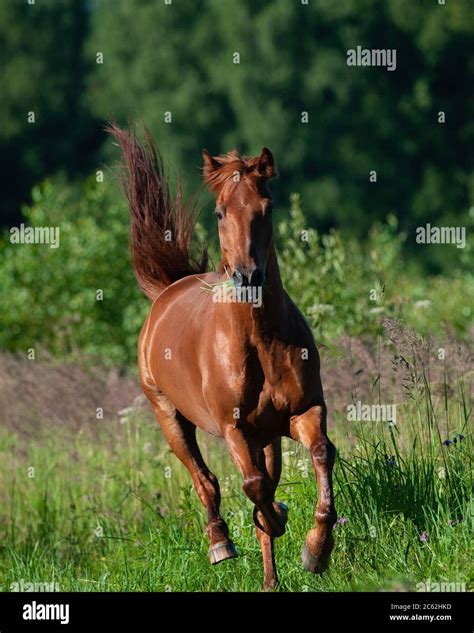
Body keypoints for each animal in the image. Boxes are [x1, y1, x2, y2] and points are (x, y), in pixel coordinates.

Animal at [108, 126, 336, 592]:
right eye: (219, 213)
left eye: (267, 207)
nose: (248, 276)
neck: (260, 342)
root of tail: (169, 289)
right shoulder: (235, 429)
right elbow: (253, 486)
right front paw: (277, 519)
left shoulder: (304, 411)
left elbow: (321, 454)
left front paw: (316, 549)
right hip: (169, 416)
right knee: (205, 480)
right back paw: (220, 543)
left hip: (266, 435)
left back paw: (270, 579)